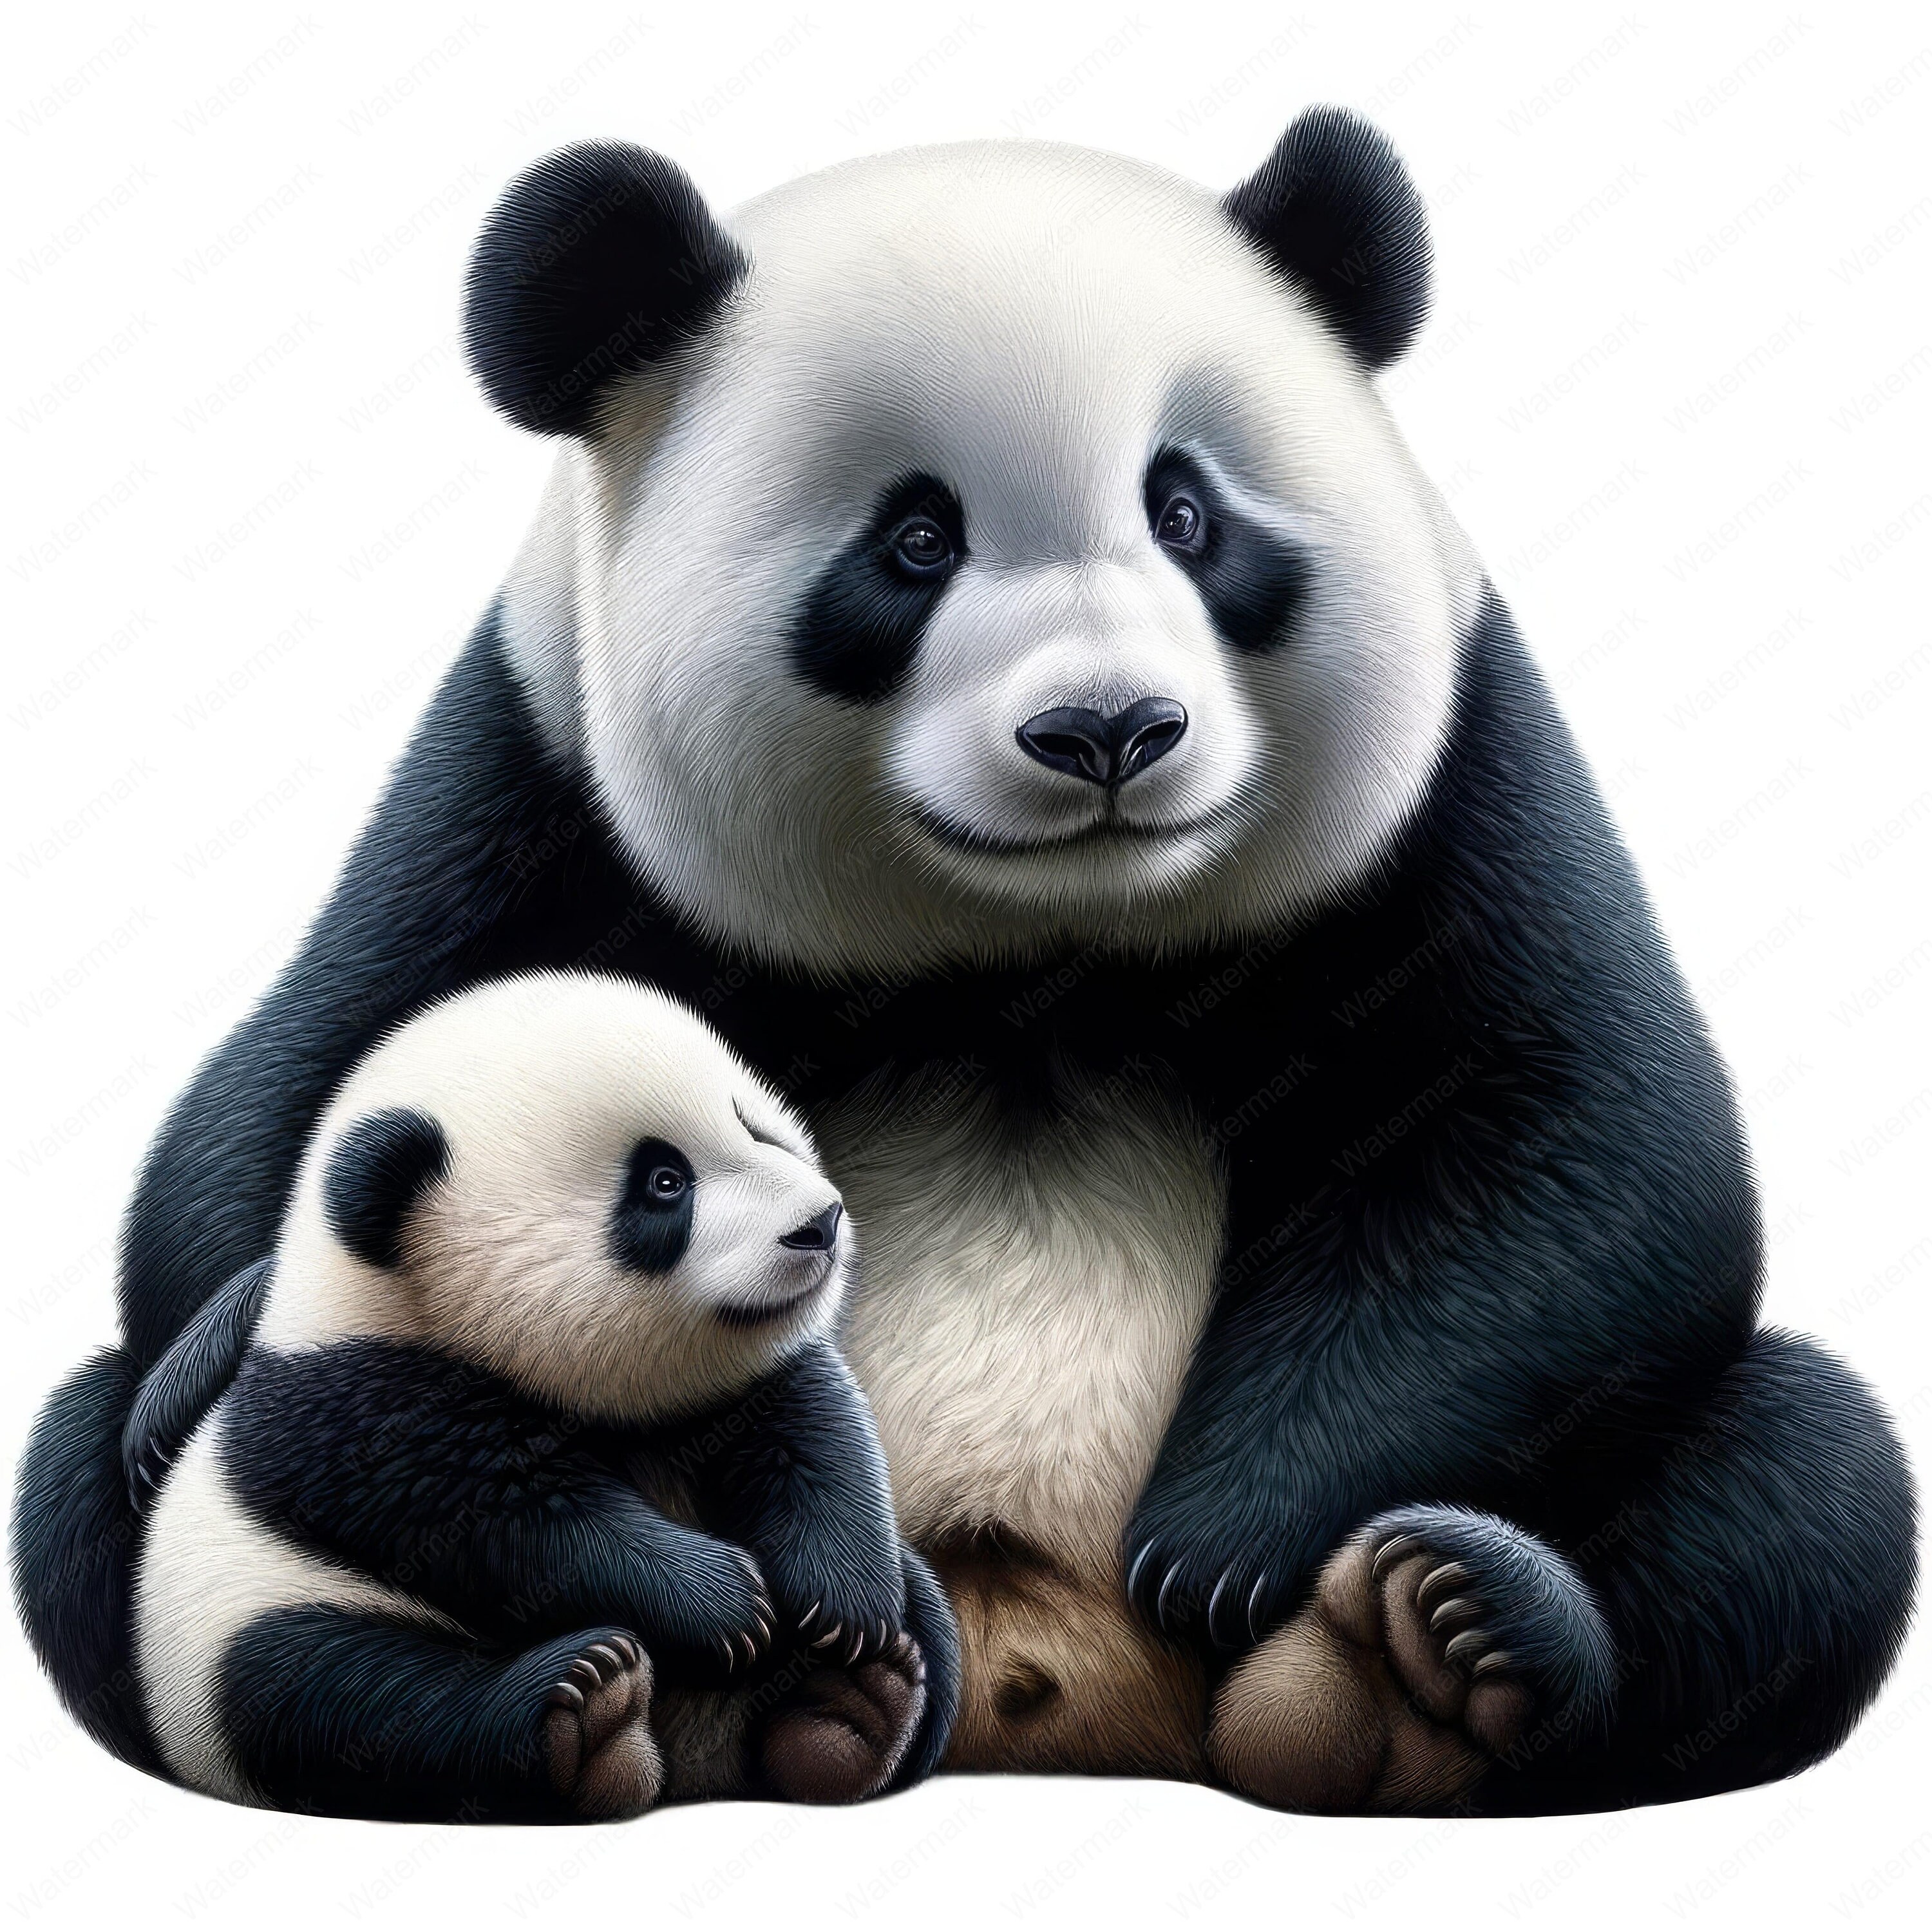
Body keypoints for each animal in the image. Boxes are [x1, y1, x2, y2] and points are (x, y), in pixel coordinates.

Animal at [124, 971, 955, 1821]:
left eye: (756, 1126)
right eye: (664, 1184)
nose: (819, 1225)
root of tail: (698, 1763)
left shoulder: (733, 1383)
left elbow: (815, 1435)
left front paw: (844, 1606)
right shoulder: (355, 1398)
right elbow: (509, 1518)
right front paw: (721, 1602)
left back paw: (855, 1704)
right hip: (233, 1620)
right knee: (338, 1694)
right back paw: (586, 1714)